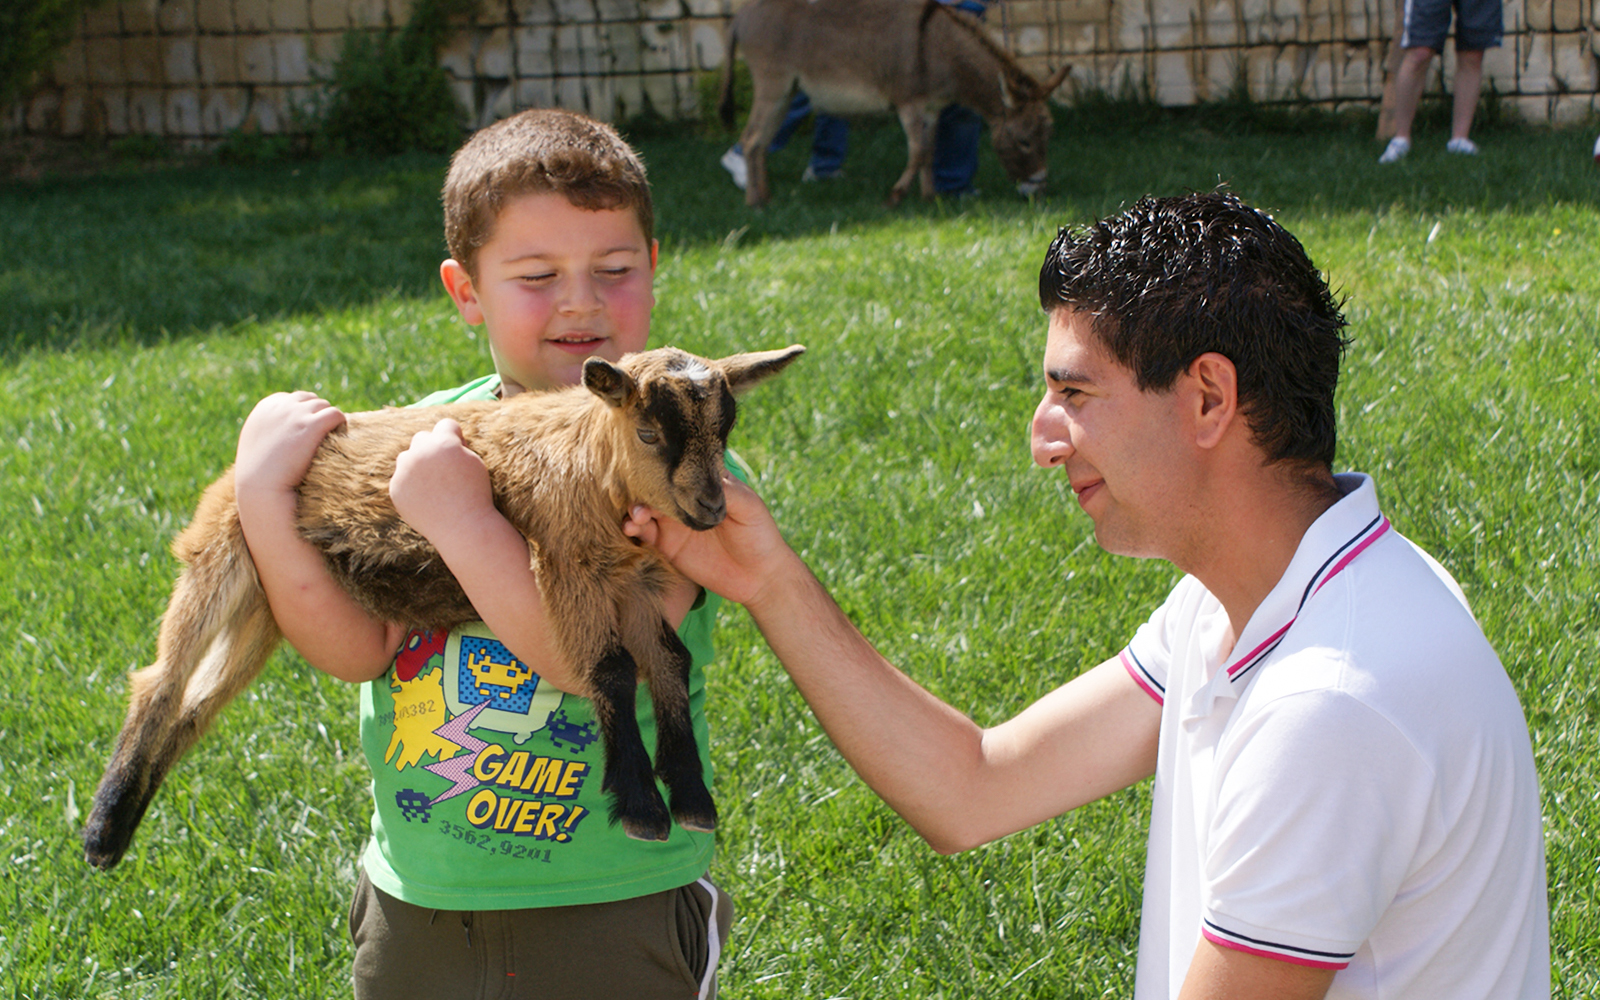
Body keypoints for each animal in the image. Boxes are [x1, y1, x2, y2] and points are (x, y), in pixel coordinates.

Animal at [83, 344, 806, 871]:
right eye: (650, 431)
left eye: (727, 429)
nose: (712, 508)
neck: (590, 466)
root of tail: (230, 476)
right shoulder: (565, 570)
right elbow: (611, 672)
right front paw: (642, 808)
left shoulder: (631, 582)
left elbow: (670, 662)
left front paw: (691, 796)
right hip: (218, 552)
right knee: (158, 682)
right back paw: (99, 833)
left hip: (265, 605)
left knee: (195, 706)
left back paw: (117, 832)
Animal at [719, 0, 1071, 207]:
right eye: (1024, 141)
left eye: (1048, 136)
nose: (1039, 189)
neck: (940, 48)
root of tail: (740, 16)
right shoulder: (909, 104)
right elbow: (917, 152)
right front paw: (896, 196)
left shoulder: (932, 109)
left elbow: (929, 152)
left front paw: (930, 199)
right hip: (773, 85)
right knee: (751, 140)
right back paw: (754, 203)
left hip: (787, 91)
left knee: (760, 143)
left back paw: (765, 196)